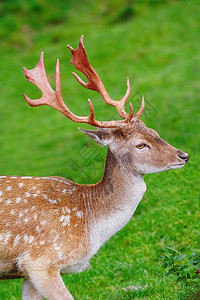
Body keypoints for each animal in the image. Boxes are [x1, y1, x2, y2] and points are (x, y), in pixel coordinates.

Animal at [0, 35, 188, 300]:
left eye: (155, 132)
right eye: (140, 144)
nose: (184, 155)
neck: (90, 225)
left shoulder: (27, 273)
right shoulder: (39, 260)